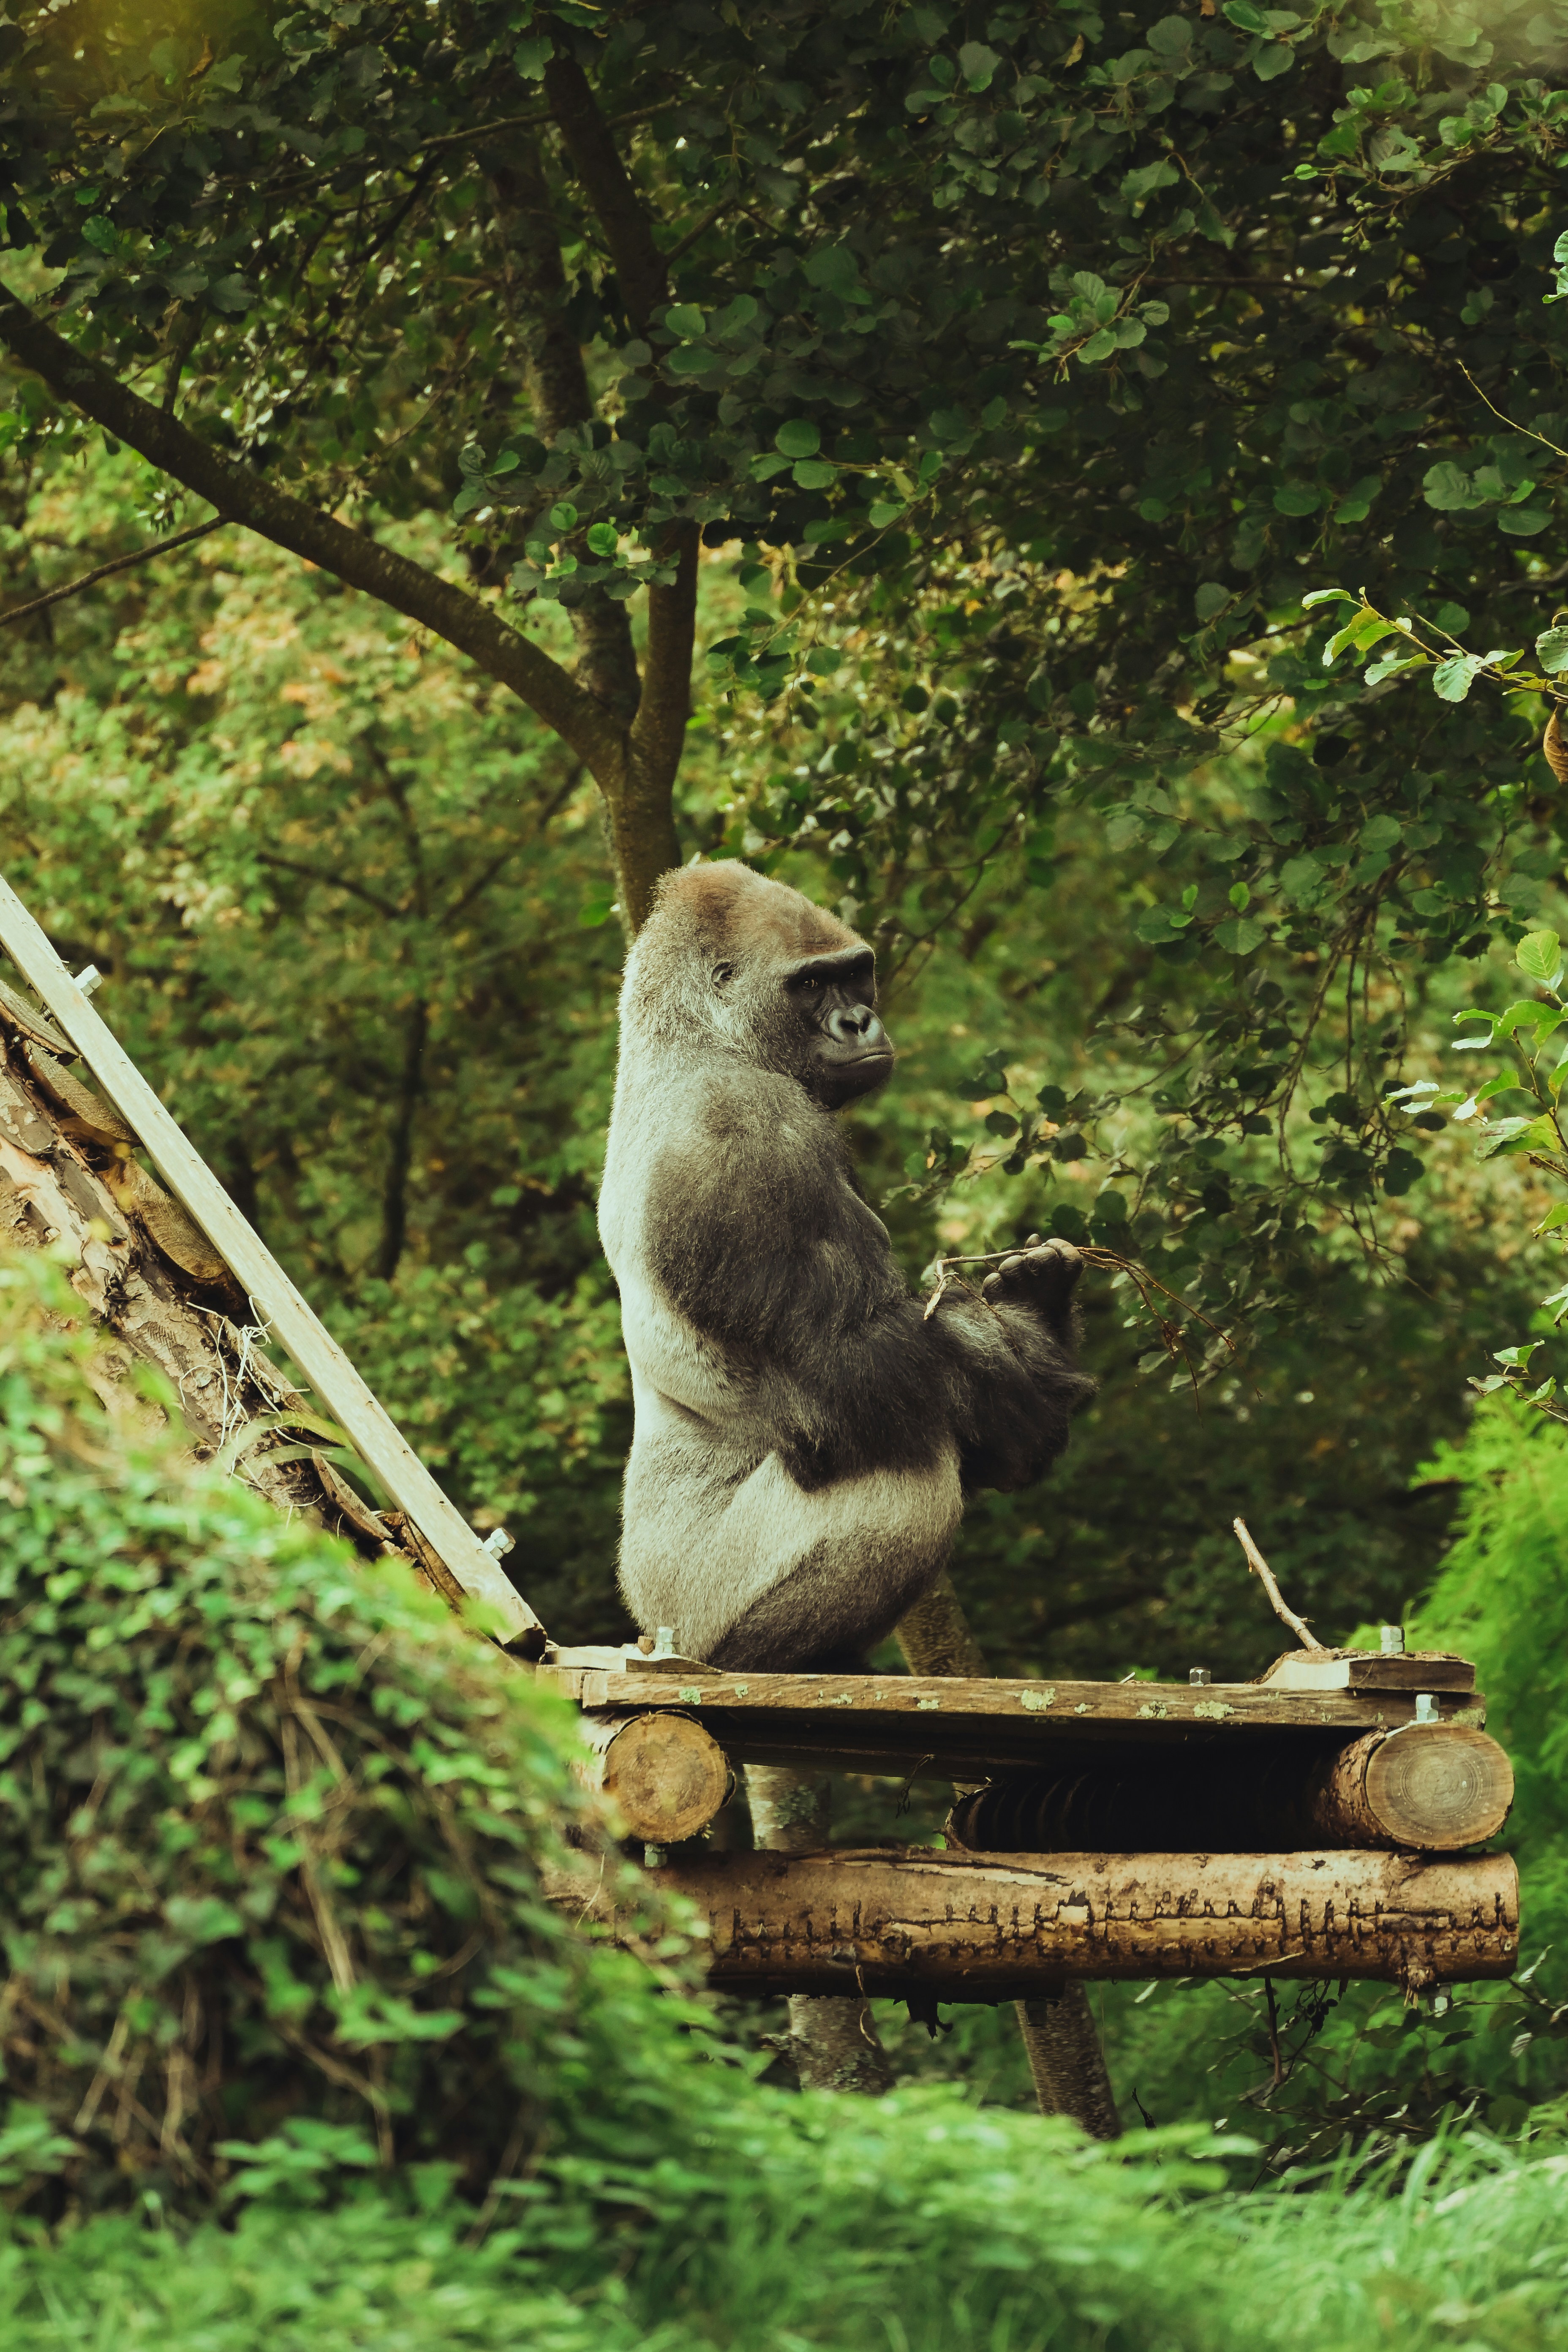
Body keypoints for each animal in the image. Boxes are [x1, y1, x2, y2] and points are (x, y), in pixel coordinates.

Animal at [596, 861, 1095, 1672]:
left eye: (856, 974)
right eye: (809, 985)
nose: (857, 1022)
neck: (698, 1041)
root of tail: (645, 1614)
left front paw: (1037, 1308)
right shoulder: (746, 1134)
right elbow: (850, 1374)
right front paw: (1030, 1359)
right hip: (692, 1615)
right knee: (905, 1469)